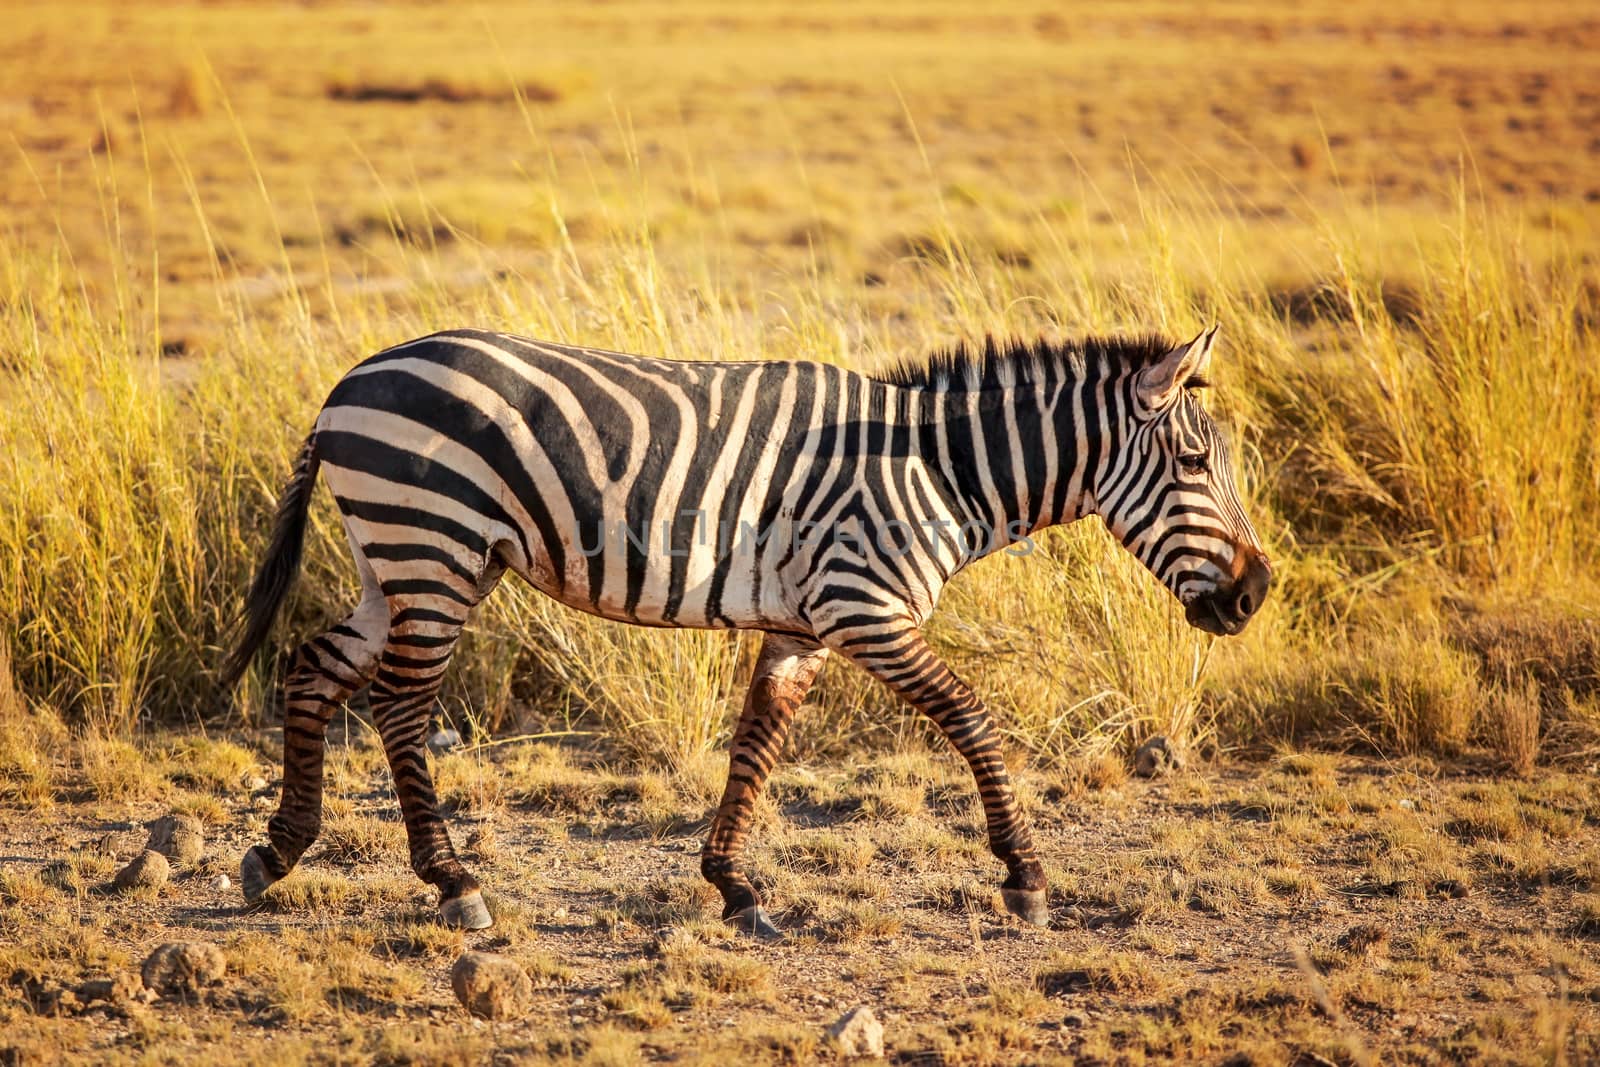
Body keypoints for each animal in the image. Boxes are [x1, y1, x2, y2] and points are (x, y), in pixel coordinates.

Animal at [222, 326, 1273, 934]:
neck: (940, 470)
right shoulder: (864, 606)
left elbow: (755, 746)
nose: (1256, 594)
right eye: (1193, 463)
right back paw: (452, 881)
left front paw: (732, 883)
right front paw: (1024, 874)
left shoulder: (801, 624)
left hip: (401, 560)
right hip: (431, 545)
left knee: (316, 670)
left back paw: (279, 850)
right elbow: (972, 717)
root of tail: (348, 381)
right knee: (400, 704)